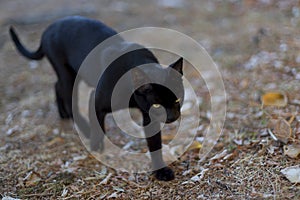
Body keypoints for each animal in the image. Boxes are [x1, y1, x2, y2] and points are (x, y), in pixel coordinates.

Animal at [9, 16, 184, 181]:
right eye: (157, 105)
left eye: (177, 100)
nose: (173, 117)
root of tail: (50, 27)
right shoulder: (96, 101)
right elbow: (98, 128)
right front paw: (96, 147)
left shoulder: (149, 117)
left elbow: (155, 144)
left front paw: (161, 171)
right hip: (67, 75)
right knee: (68, 98)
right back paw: (84, 128)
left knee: (57, 86)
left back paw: (63, 115)